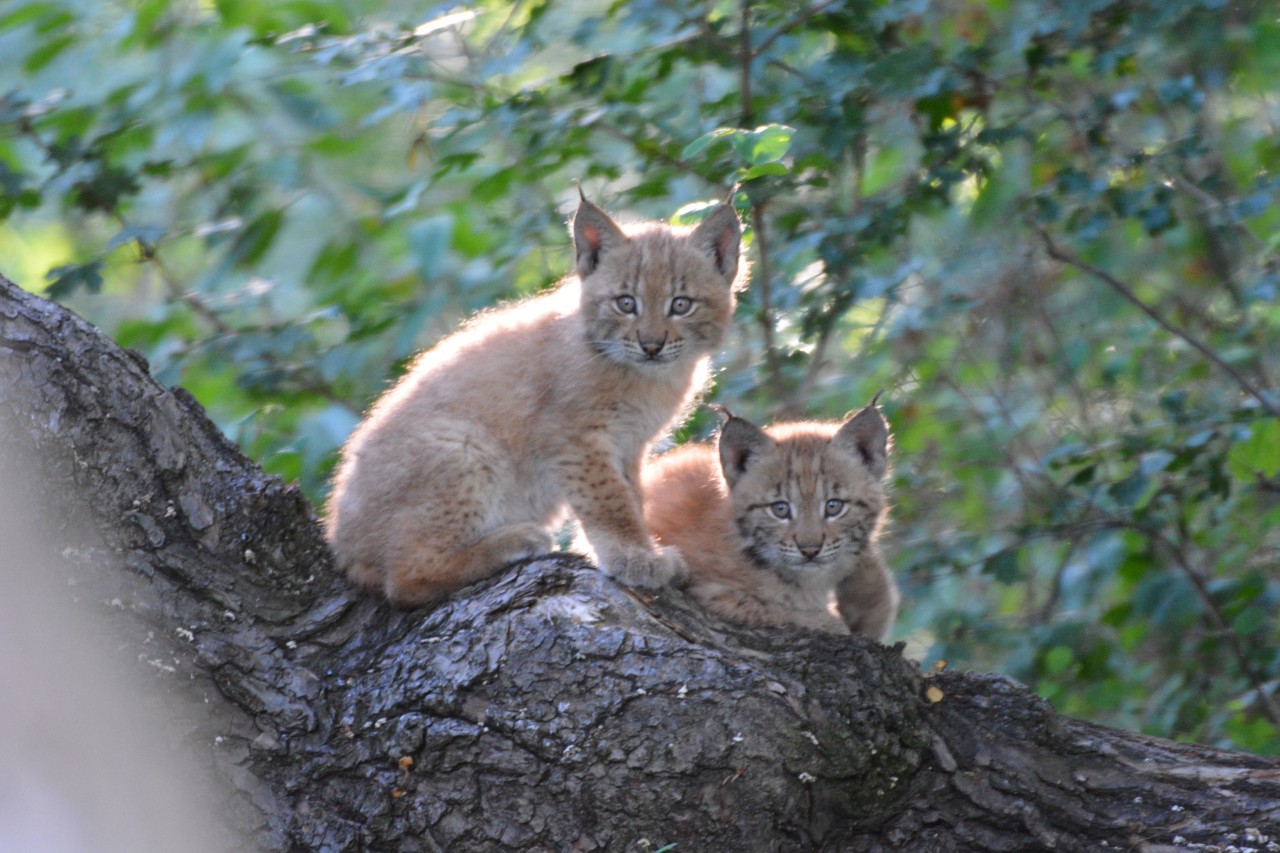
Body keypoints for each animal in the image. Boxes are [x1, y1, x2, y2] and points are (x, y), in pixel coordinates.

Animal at [322, 192, 742, 604]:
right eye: (626, 303)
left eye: (681, 304)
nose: (651, 345)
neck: (647, 375)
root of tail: (340, 545)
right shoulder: (574, 438)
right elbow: (610, 501)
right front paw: (636, 558)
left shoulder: (630, 443)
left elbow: (634, 496)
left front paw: (632, 551)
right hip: (463, 445)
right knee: (404, 580)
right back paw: (513, 540)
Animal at [640, 402, 901, 635]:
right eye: (780, 509)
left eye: (833, 506)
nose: (810, 550)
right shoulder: (710, 590)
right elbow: (780, 609)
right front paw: (832, 623)